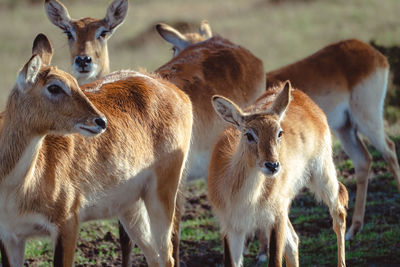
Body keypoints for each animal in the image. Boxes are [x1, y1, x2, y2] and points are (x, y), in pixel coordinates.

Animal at [0, 33, 192, 267]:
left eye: (74, 82)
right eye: (54, 87)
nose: (100, 121)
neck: (14, 187)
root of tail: (174, 90)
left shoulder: (66, 224)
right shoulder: (10, 236)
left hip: (162, 196)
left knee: (167, 256)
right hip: (131, 206)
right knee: (153, 255)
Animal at [159, 22, 400, 246]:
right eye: (174, 48)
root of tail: (373, 52)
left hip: (366, 119)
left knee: (388, 149)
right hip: (345, 128)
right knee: (363, 160)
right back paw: (353, 229)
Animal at [208, 82, 348, 267]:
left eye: (279, 132)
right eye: (249, 134)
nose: (272, 165)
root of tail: (298, 93)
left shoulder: (274, 218)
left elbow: (274, 260)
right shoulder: (231, 227)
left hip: (322, 173)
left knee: (338, 212)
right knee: (293, 241)